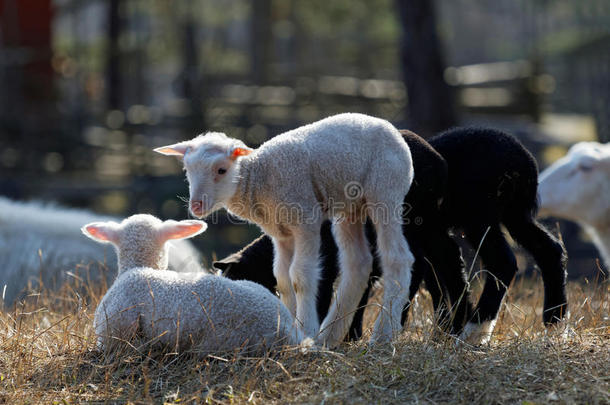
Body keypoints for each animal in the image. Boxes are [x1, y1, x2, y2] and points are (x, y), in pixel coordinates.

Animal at [154, 112, 416, 346]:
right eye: (187, 170)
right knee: (358, 263)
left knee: (397, 258)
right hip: (350, 207)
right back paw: (329, 337)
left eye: (221, 170)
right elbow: (282, 278)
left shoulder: (305, 220)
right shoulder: (279, 233)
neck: (257, 178)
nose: (196, 206)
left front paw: (306, 328)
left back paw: (382, 335)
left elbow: (300, 277)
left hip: (386, 190)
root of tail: (388, 127)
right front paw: (289, 325)